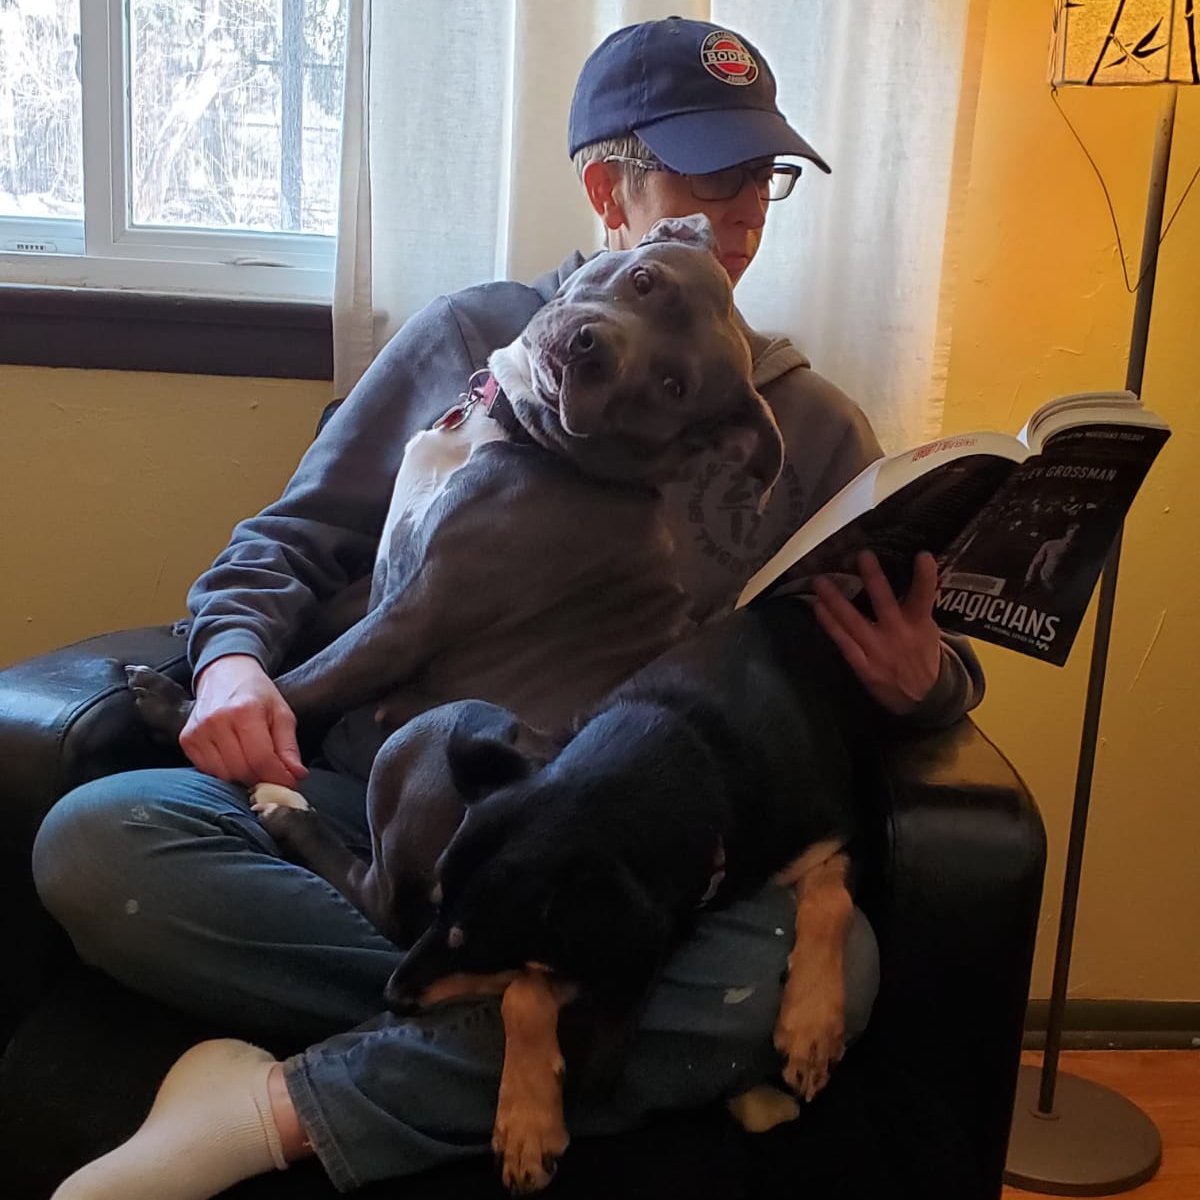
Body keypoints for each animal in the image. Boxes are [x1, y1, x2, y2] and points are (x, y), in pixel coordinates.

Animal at [129, 211, 787, 753]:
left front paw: (181, 711)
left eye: (673, 387)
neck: (518, 432)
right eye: (644, 279)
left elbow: (311, 678)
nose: (591, 348)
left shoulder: (413, 614)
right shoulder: (391, 573)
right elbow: (322, 610)